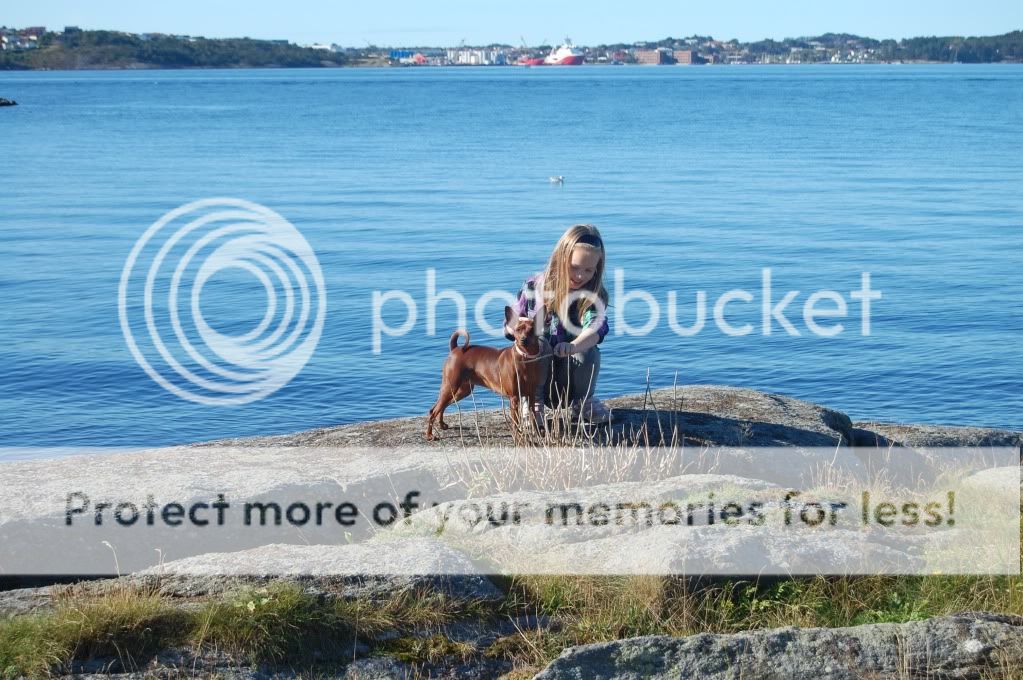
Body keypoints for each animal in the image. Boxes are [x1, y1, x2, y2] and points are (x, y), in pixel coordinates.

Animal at [425, 306, 548, 439]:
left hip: (462, 390)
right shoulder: (514, 398)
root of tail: (456, 349)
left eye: (532, 330)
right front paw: (518, 437)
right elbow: (516, 422)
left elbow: (533, 417)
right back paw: (429, 435)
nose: (523, 339)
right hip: (451, 386)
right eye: (518, 330)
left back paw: (442, 425)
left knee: (441, 406)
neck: (525, 359)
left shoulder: (531, 395)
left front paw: (538, 434)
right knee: (434, 410)